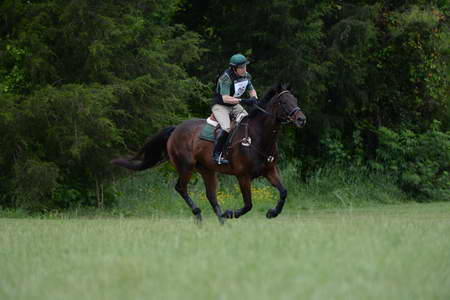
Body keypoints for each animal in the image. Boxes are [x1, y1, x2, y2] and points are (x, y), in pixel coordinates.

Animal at [111, 82, 306, 223]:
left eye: (295, 100)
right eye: (283, 102)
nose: (301, 119)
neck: (258, 136)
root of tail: (175, 129)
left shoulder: (269, 171)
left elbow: (283, 192)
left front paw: (272, 213)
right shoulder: (242, 175)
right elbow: (248, 204)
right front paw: (231, 213)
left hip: (207, 170)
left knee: (211, 195)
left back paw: (221, 220)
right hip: (186, 166)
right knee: (181, 188)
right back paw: (200, 214)